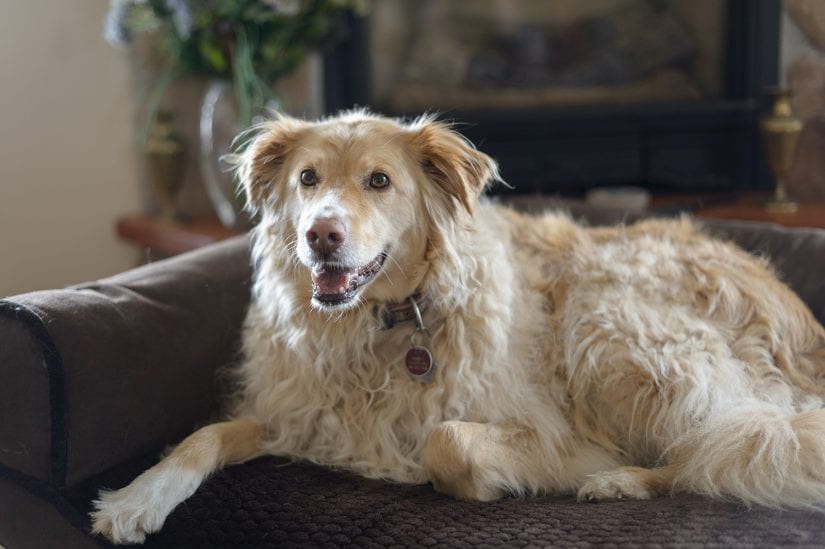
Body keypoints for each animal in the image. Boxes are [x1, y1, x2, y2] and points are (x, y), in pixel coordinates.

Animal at [90, 109, 824, 540]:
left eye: (379, 181)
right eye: (307, 179)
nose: (320, 235)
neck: (382, 325)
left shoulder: (547, 427)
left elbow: (448, 443)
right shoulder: (293, 413)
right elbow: (201, 437)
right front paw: (134, 500)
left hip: (613, 326)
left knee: (720, 447)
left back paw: (621, 480)